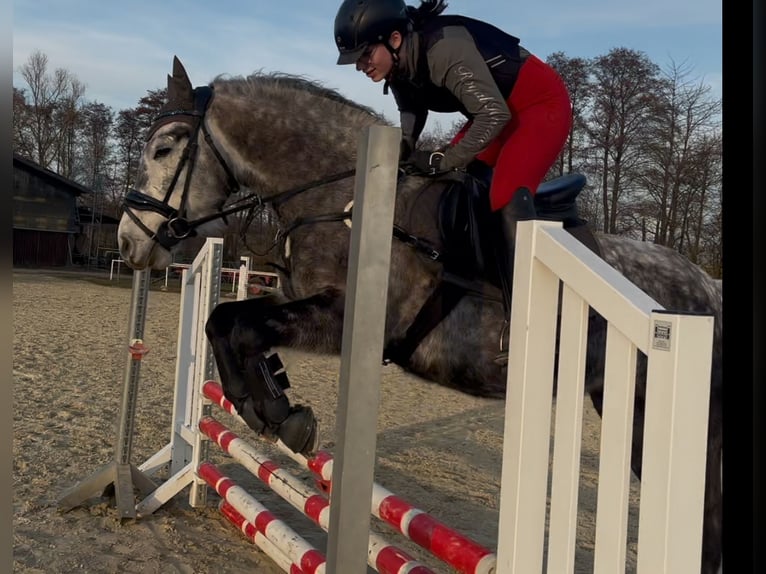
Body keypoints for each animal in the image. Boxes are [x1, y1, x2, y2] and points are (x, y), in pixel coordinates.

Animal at [117, 57, 722, 573]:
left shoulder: (349, 321)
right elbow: (224, 320)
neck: (339, 196)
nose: (130, 242)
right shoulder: (298, 301)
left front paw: (279, 413)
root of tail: (703, 286)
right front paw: (266, 404)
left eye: (164, 149)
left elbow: (242, 326)